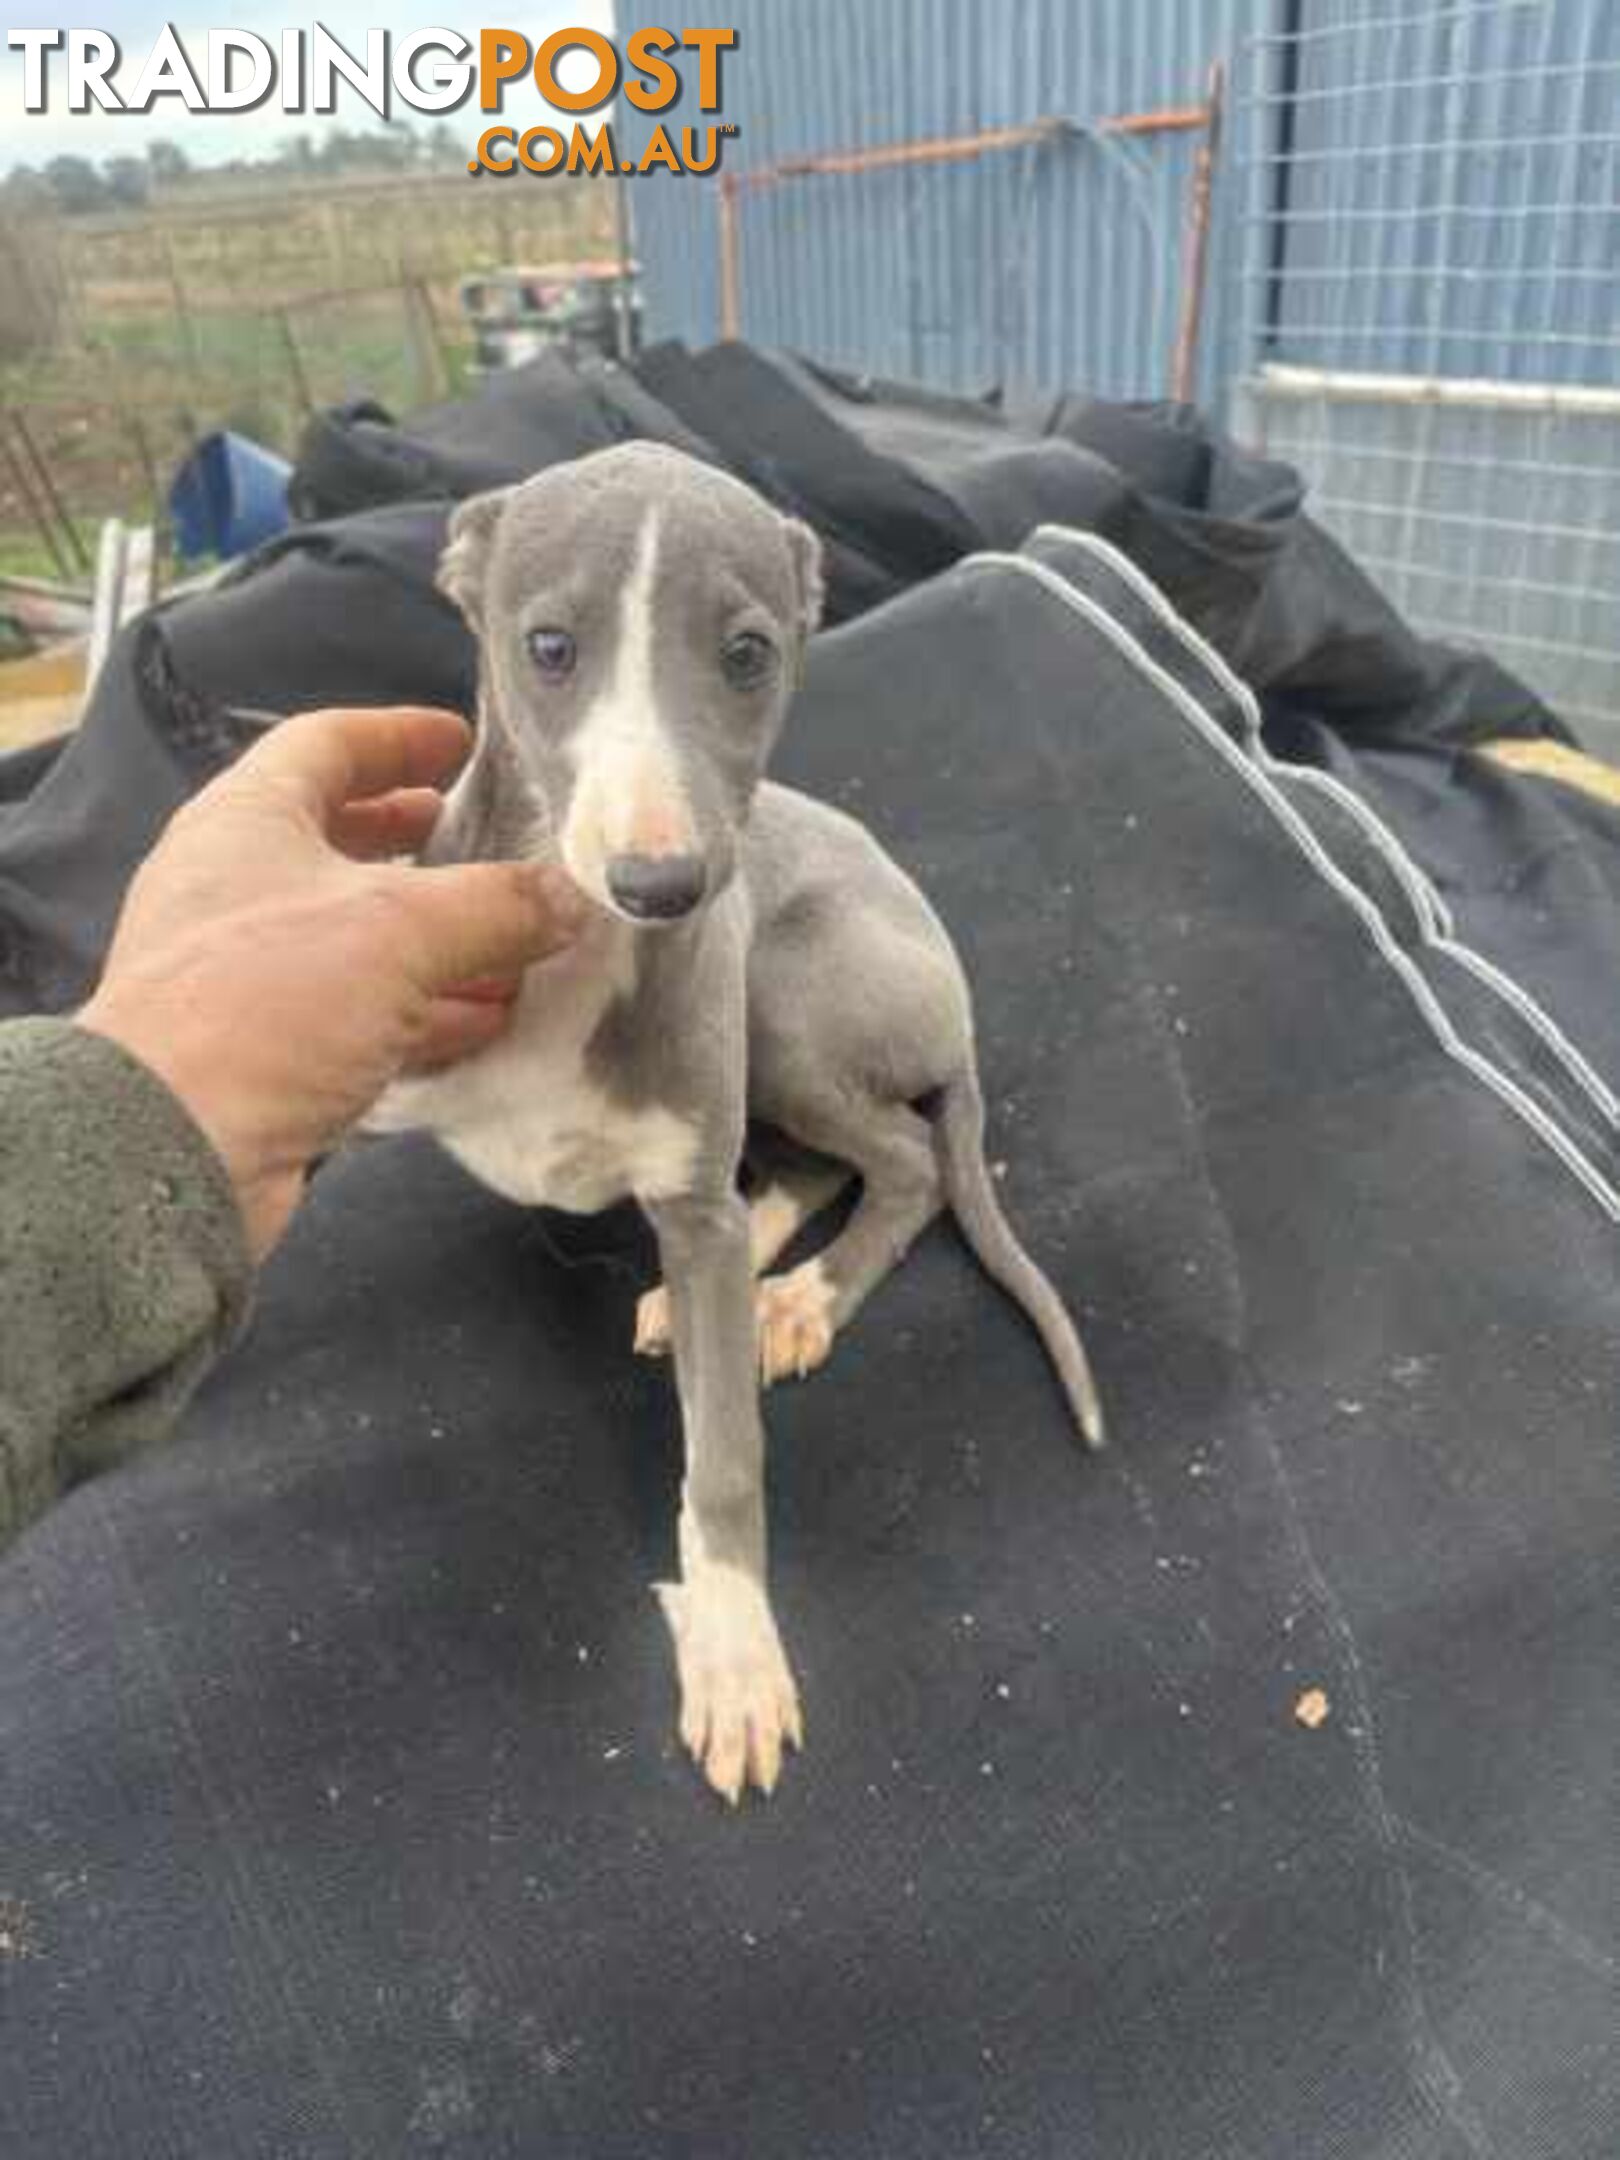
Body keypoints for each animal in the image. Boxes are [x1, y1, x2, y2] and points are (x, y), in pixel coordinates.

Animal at [367, 447, 1105, 1814]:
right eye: (548, 646)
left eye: (750, 654)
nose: (663, 890)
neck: (571, 952)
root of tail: (958, 1000)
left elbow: (724, 1456)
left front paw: (734, 1652)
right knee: (797, 1172)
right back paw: (714, 1285)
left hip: (785, 985)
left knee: (899, 1161)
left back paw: (796, 1300)